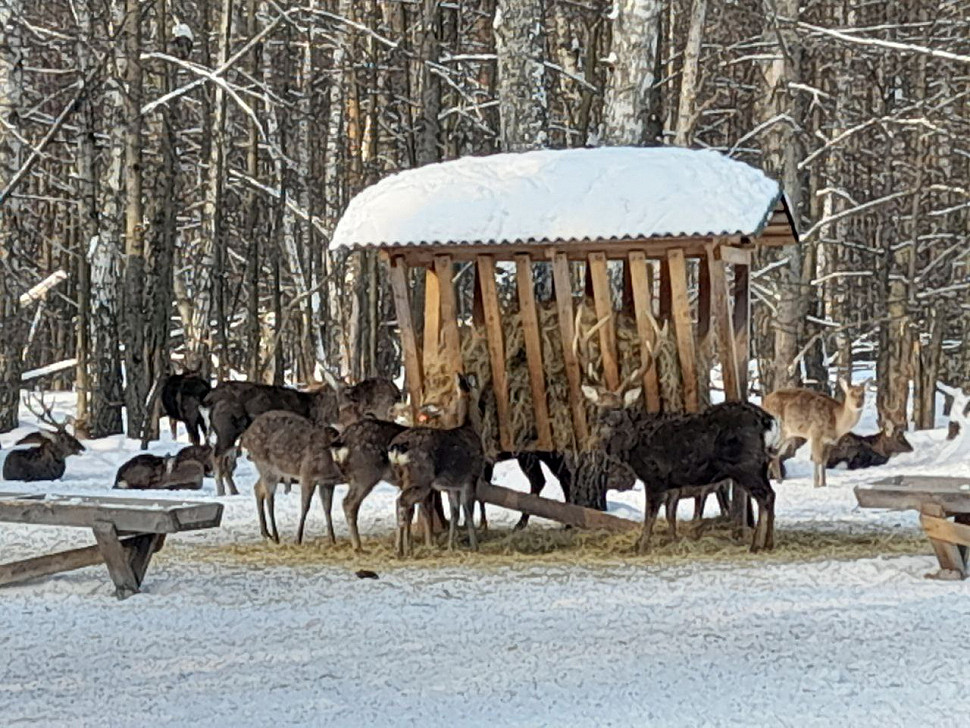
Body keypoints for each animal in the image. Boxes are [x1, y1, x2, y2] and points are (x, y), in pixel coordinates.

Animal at [239, 412, 342, 544]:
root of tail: (245, 437)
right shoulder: (307, 475)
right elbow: (305, 506)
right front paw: (298, 539)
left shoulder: (327, 482)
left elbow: (327, 508)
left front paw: (332, 539)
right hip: (266, 466)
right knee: (269, 499)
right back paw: (275, 536)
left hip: (271, 472)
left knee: (257, 488)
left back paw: (266, 533)